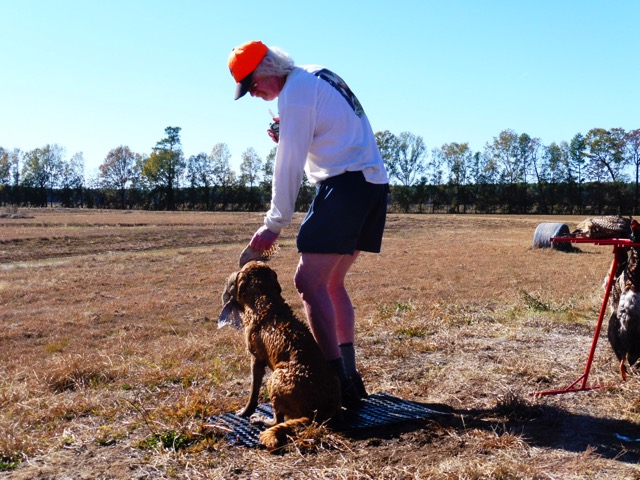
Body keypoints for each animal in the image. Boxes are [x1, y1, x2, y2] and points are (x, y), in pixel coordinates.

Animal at [219, 260, 342, 452]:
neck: (265, 302)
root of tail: (317, 414)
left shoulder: (256, 360)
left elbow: (253, 392)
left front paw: (245, 412)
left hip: (275, 378)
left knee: (278, 419)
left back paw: (262, 419)